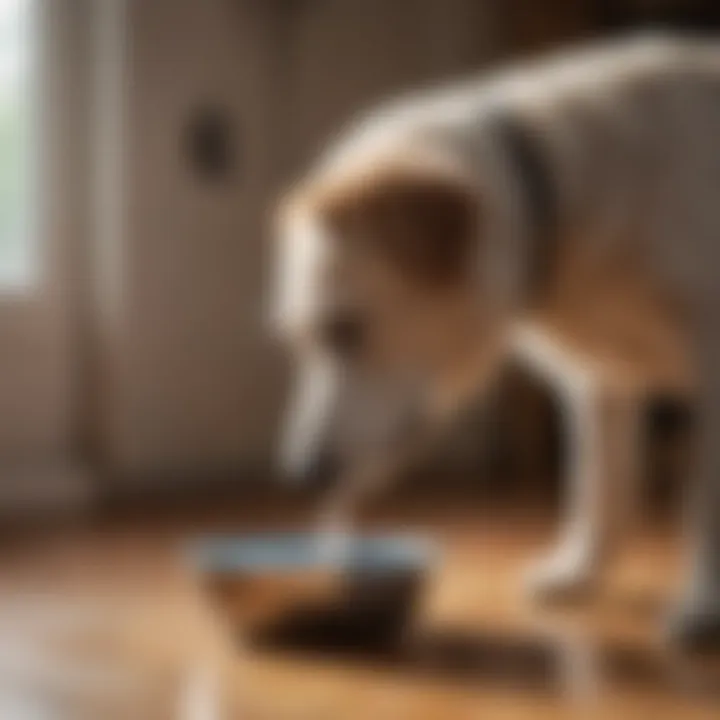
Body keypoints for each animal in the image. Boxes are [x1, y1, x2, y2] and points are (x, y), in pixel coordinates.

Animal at [270, 35, 720, 648]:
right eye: (298, 340)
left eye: (344, 329)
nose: (301, 473)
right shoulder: (599, 382)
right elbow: (598, 488)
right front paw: (580, 573)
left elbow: (703, 502)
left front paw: (703, 604)